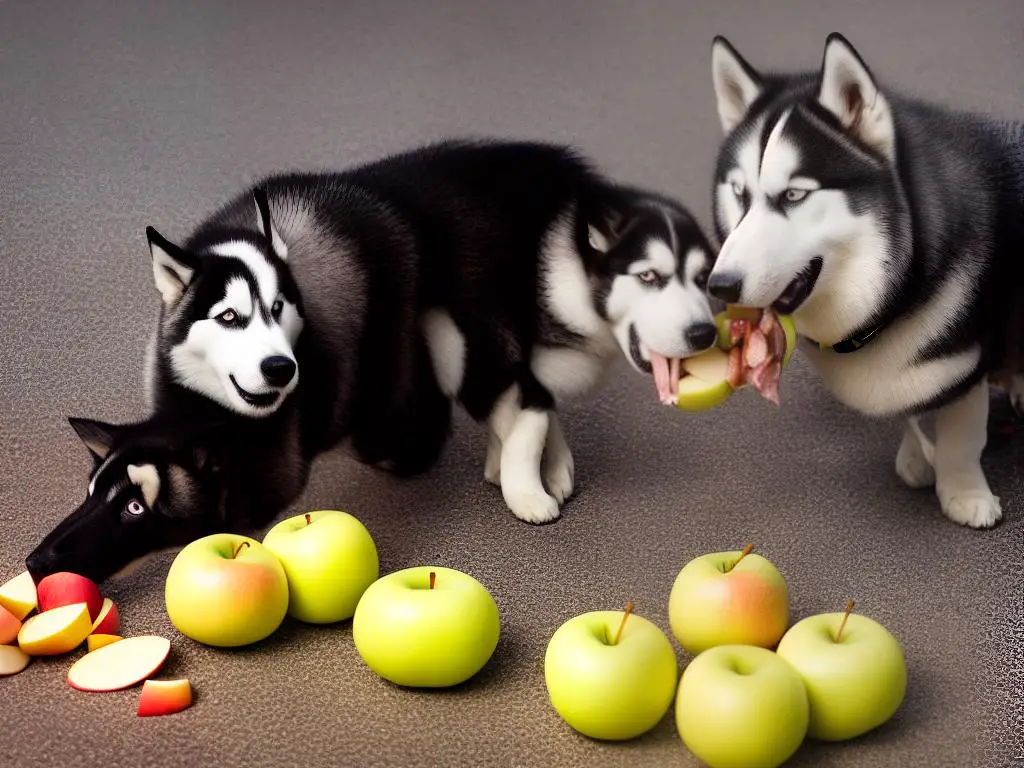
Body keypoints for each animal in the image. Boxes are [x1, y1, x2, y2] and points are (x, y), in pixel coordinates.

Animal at [708, 36, 1019, 528]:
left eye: (794, 195)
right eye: (740, 193)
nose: (719, 286)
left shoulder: (968, 358)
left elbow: (962, 433)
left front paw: (964, 491)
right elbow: (910, 408)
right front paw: (917, 455)